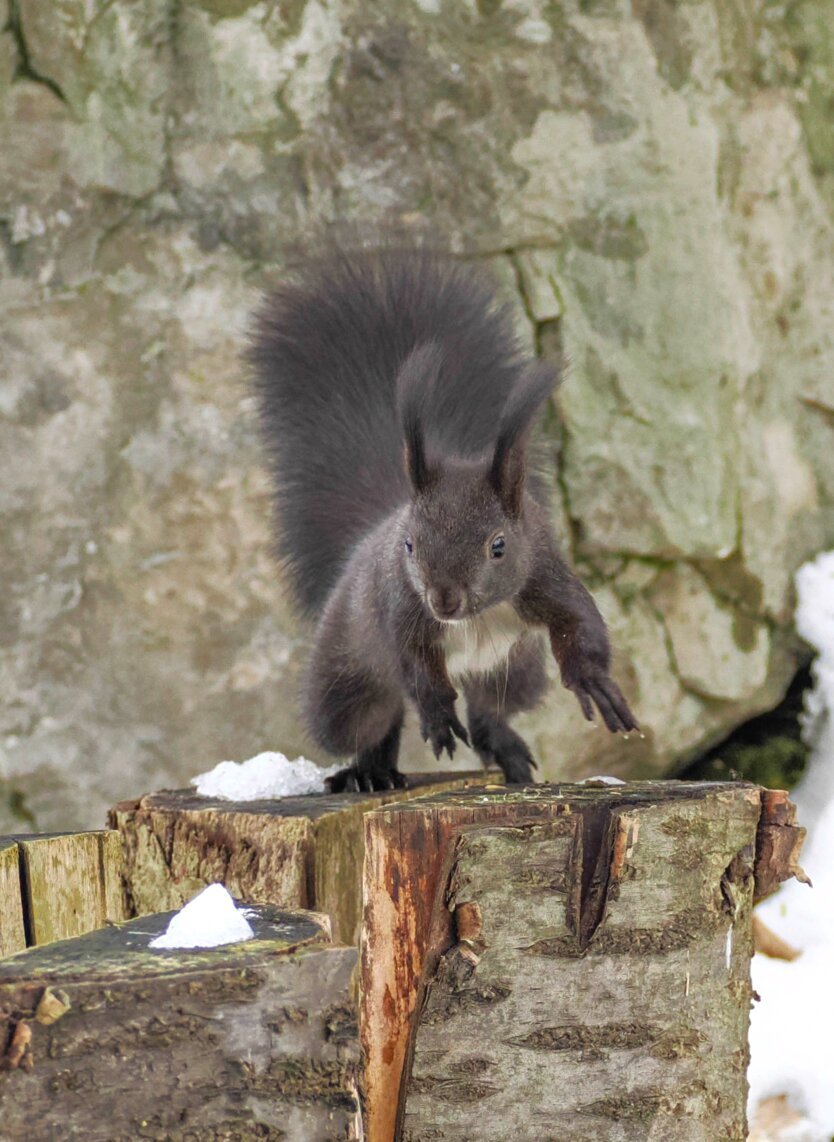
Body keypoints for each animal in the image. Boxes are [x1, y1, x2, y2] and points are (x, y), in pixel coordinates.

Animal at [246, 238, 635, 794]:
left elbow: (580, 624)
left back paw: (505, 749)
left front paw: (594, 683)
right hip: (345, 679)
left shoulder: (544, 574)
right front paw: (435, 717)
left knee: (491, 707)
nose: (444, 600)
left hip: (515, 669)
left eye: (498, 545)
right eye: (409, 544)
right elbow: (416, 669)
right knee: (375, 719)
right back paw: (370, 771)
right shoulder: (400, 607)